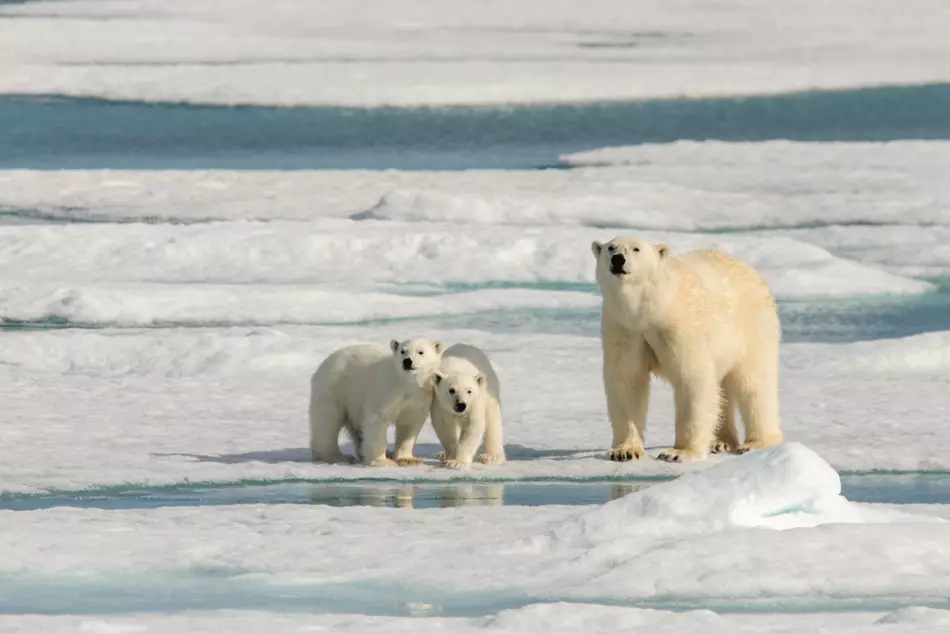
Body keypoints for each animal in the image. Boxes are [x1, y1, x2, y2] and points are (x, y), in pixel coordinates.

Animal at [312, 338, 446, 466]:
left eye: (421, 352)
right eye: (403, 351)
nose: (407, 361)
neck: (406, 384)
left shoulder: (419, 398)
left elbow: (409, 424)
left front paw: (408, 460)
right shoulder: (386, 391)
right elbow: (377, 420)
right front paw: (383, 461)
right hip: (335, 388)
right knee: (327, 421)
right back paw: (336, 456)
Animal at [592, 235, 784, 462]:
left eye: (636, 249)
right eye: (610, 248)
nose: (618, 259)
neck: (652, 308)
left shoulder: (680, 325)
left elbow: (692, 379)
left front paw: (679, 452)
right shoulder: (624, 329)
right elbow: (627, 381)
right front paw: (625, 451)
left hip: (752, 325)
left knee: (754, 383)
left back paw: (756, 443)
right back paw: (721, 442)